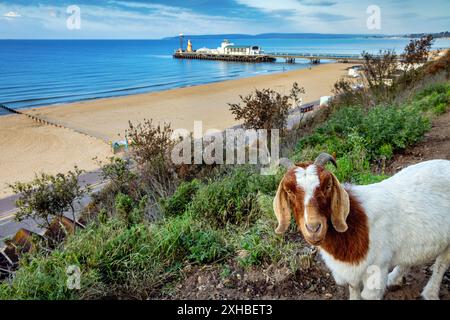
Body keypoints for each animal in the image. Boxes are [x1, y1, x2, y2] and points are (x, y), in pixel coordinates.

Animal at [272, 153, 450, 300]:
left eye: (328, 186)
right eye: (289, 191)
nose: (314, 228)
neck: (355, 223)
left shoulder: (376, 269)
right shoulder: (351, 270)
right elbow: (354, 289)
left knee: (442, 263)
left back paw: (430, 293)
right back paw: (394, 279)